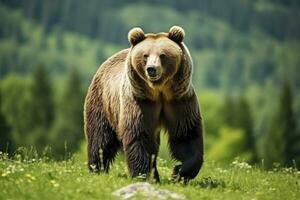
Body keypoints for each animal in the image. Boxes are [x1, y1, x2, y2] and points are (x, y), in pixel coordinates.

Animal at [83, 25, 203, 182]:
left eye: (163, 55)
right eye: (145, 55)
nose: (151, 69)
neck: (159, 91)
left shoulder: (179, 100)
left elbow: (186, 134)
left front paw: (179, 172)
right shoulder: (140, 102)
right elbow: (139, 135)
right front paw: (143, 174)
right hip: (102, 102)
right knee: (100, 137)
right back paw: (97, 168)